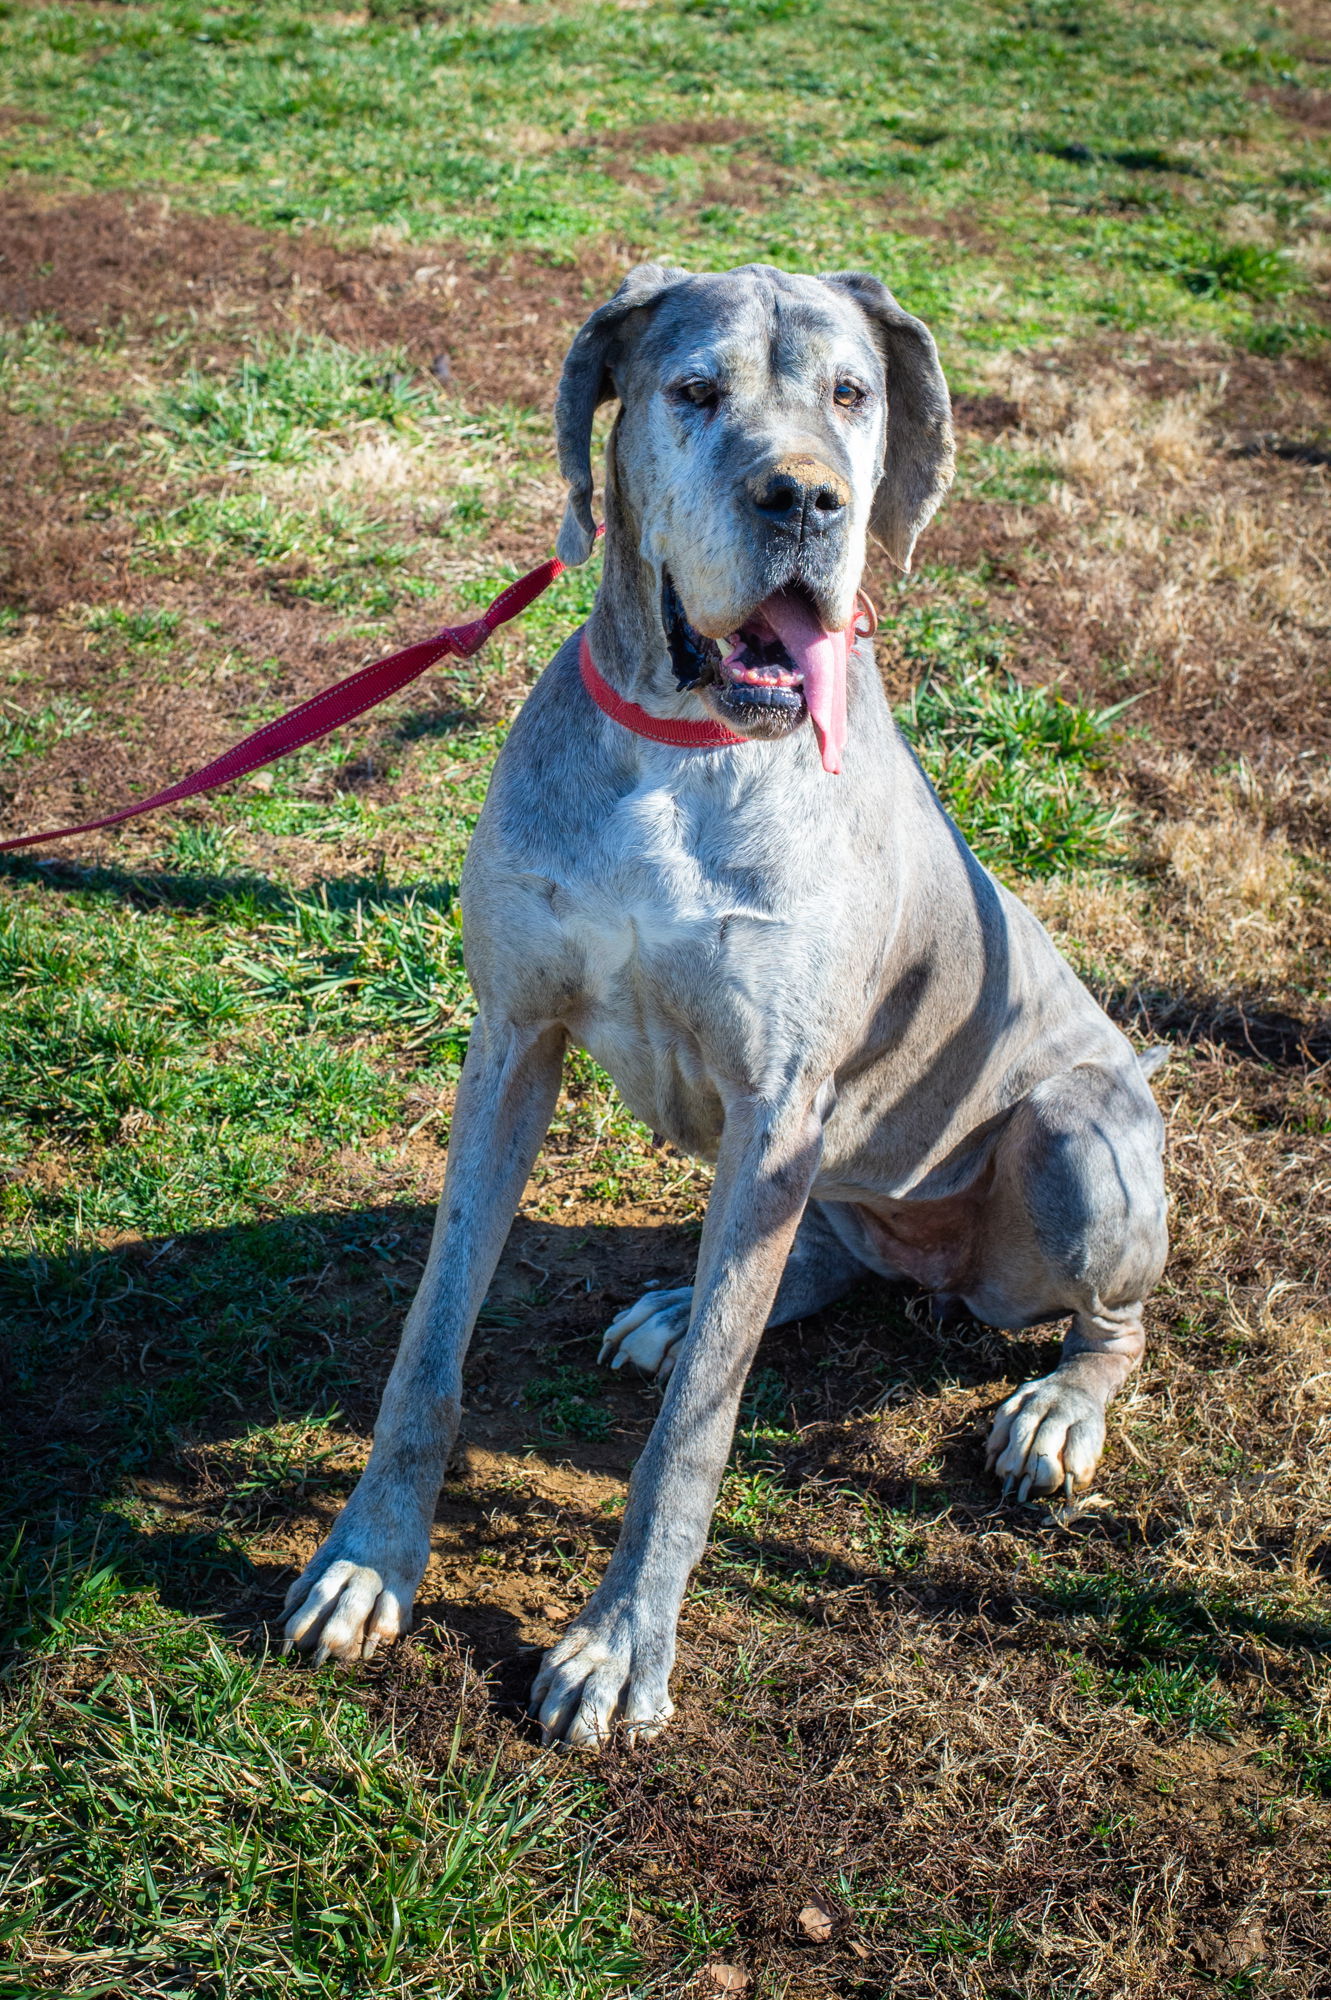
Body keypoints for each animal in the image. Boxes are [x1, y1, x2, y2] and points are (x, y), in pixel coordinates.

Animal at [279, 270, 1159, 1752]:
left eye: (852, 395)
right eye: (693, 392)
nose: (806, 500)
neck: (681, 752)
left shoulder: (776, 1098)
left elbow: (694, 1428)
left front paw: (619, 1645)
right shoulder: (512, 1041)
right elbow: (429, 1342)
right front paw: (365, 1560)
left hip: (1073, 1141)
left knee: (1113, 1319)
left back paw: (1053, 1411)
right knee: (822, 1256)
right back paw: (690, 1302)